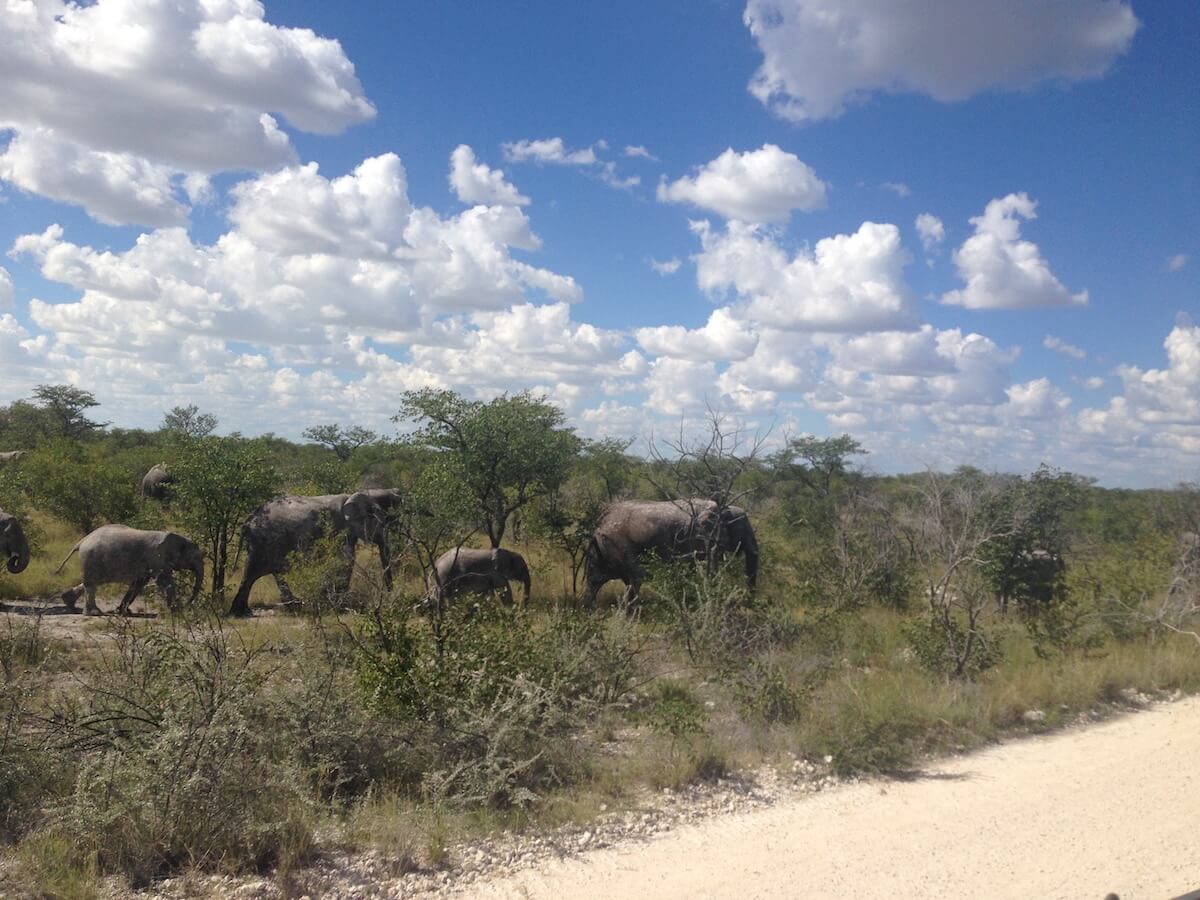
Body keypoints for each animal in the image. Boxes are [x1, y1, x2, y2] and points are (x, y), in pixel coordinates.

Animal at [55, 525, 204, 619]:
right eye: (195, 558)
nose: (187, 605)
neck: (180, 539)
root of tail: (81, 541)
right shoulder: (156, 557)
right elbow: (164, 581)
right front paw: (177, 612)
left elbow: (138, 584)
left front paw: (122, 611)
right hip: (91, 557)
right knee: (92, 583)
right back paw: (94, 613)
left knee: (93, 581)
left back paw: (68, 601)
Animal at [226, 494, 391, 619]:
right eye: (379, 524)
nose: (388, 595)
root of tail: (248, 521)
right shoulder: (339, 529)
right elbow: (345, 559)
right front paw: (340, 605)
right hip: (264, 541)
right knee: (254, 573)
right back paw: (242, 613)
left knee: (270, 572)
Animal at [583, 496, 758, 609]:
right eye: (744, 529)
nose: (749, 605)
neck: (723, 509)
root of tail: (599, 523)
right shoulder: (698, 537)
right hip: (618, 543)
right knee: (634, 576)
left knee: (603, 578)